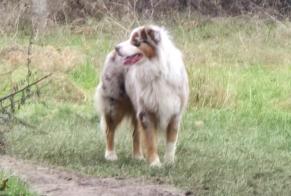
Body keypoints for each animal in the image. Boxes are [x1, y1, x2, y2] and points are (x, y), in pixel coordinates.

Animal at [115, 24, 190, 165]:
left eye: (135, 41)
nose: (116, 48)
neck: (157, 70)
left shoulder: (175, 113)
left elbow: (171, 141)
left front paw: (169, 162)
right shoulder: (146, 112)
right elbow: (150, 141)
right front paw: (155, 163)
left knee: (136, 133)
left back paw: (138, 156)